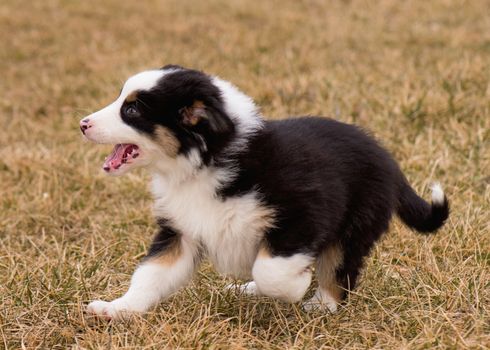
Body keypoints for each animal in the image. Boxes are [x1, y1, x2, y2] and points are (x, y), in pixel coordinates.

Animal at [79, 65, 448, 320]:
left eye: (132, 110)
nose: (82, 123)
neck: (203, 163)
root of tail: (389, 161)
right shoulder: (181, 230)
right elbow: (151, 275)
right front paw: (117, 308)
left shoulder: (302, 213)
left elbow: (271, 270)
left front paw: (297, 286)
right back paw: (249, 290)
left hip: (355, 225)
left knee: (338, 273)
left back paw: (319, 304)